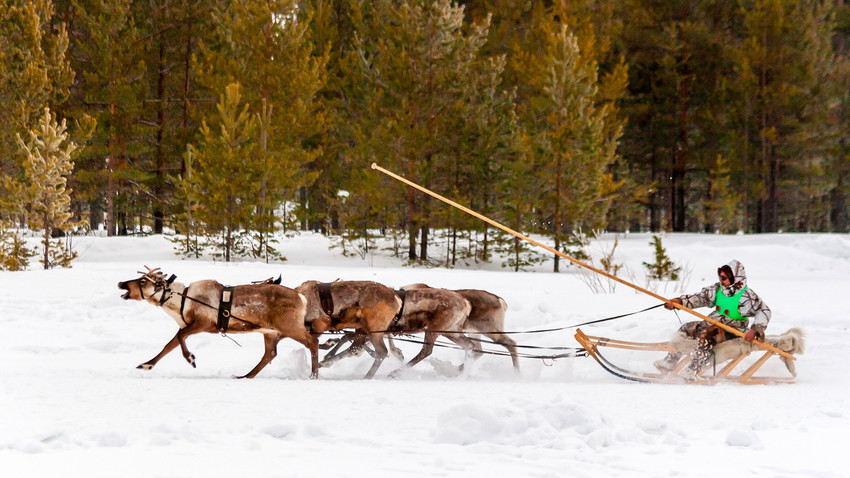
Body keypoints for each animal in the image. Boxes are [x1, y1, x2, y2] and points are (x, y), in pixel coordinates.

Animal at [118, 267, 319, 379]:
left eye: (143, 281)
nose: (121, 283)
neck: (180, 302)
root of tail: (301, 297)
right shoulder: (187, 325)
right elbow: (169, 345)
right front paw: (146, 364)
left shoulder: (203, 323)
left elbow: (181, 338)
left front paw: (191, 359)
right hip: (270, 332)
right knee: (270, 354)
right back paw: (245, 376)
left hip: (290, 327)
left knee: (313, 342)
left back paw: (313, 374)